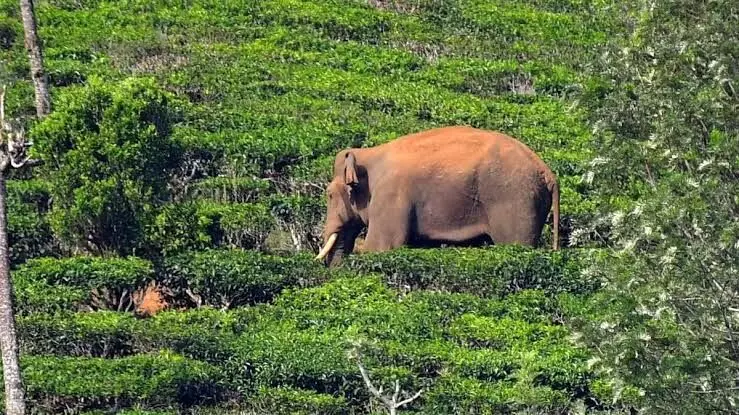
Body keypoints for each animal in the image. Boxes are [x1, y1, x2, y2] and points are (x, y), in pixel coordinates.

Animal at [312, 125, 560, 268]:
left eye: (329, 194)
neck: (369, 154)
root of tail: (549, 174)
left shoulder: (390, 197)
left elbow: (380, 247)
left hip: (515, 201)